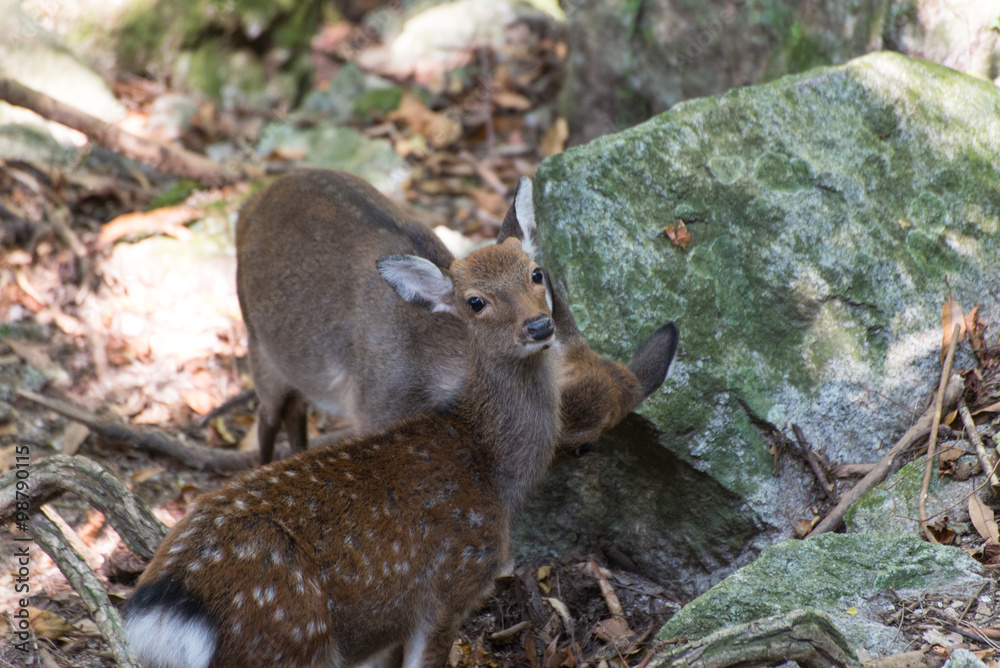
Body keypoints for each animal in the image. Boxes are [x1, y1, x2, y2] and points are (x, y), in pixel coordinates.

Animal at [235, 168, 679, 464]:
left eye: (536, 273)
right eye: (475, 301)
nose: (539, 326)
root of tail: (249, 202)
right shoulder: (370, 408)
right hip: (257, 346)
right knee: (267, 416)